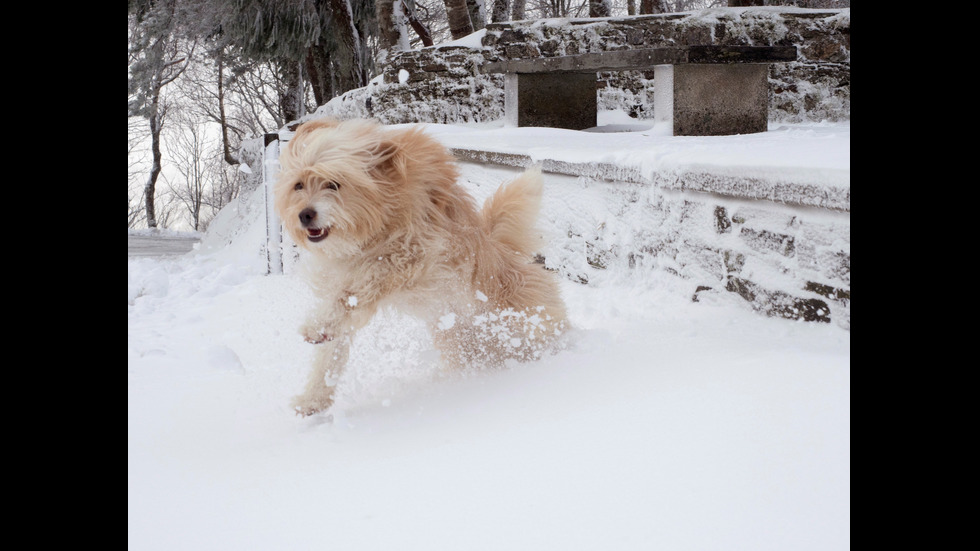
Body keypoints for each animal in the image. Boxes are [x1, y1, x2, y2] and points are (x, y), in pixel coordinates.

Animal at [276, 118, 568, 416]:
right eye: (299, 185)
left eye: (334, 184)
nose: (304, 215)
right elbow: (332, 348)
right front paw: (313, 398)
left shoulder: (411, 255)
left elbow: (354, 290)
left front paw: (317, 325)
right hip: (462, 341)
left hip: (525, 319)